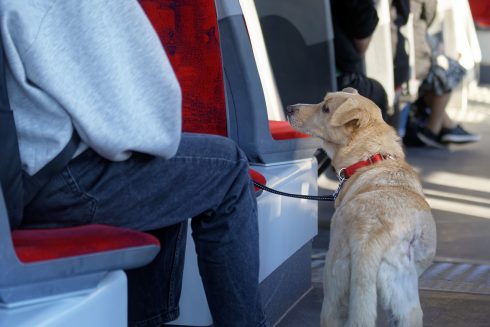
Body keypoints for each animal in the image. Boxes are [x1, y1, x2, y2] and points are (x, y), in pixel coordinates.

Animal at [286, 89, 434, 327]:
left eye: (325, 108)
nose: (289, 108)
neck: (372, 157)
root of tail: (372, 237)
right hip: (407, 305)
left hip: (333, 284)